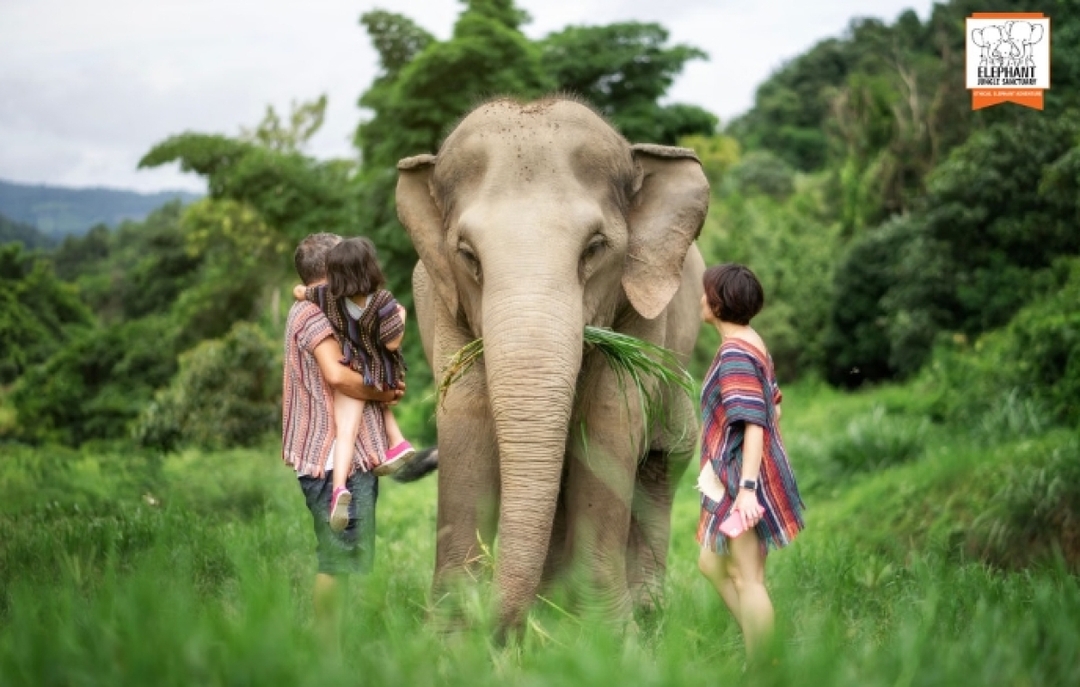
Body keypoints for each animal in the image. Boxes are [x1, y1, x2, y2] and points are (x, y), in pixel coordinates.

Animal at [395, 96, 709, 637]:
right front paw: (448, 641)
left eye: (594, 248)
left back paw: (642, 613)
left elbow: (611, 420)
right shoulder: (441, 301)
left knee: (660, 465)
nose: (494, 628)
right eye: (467, 255)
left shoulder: (644, 309)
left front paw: (609, 639)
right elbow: (466, 419)